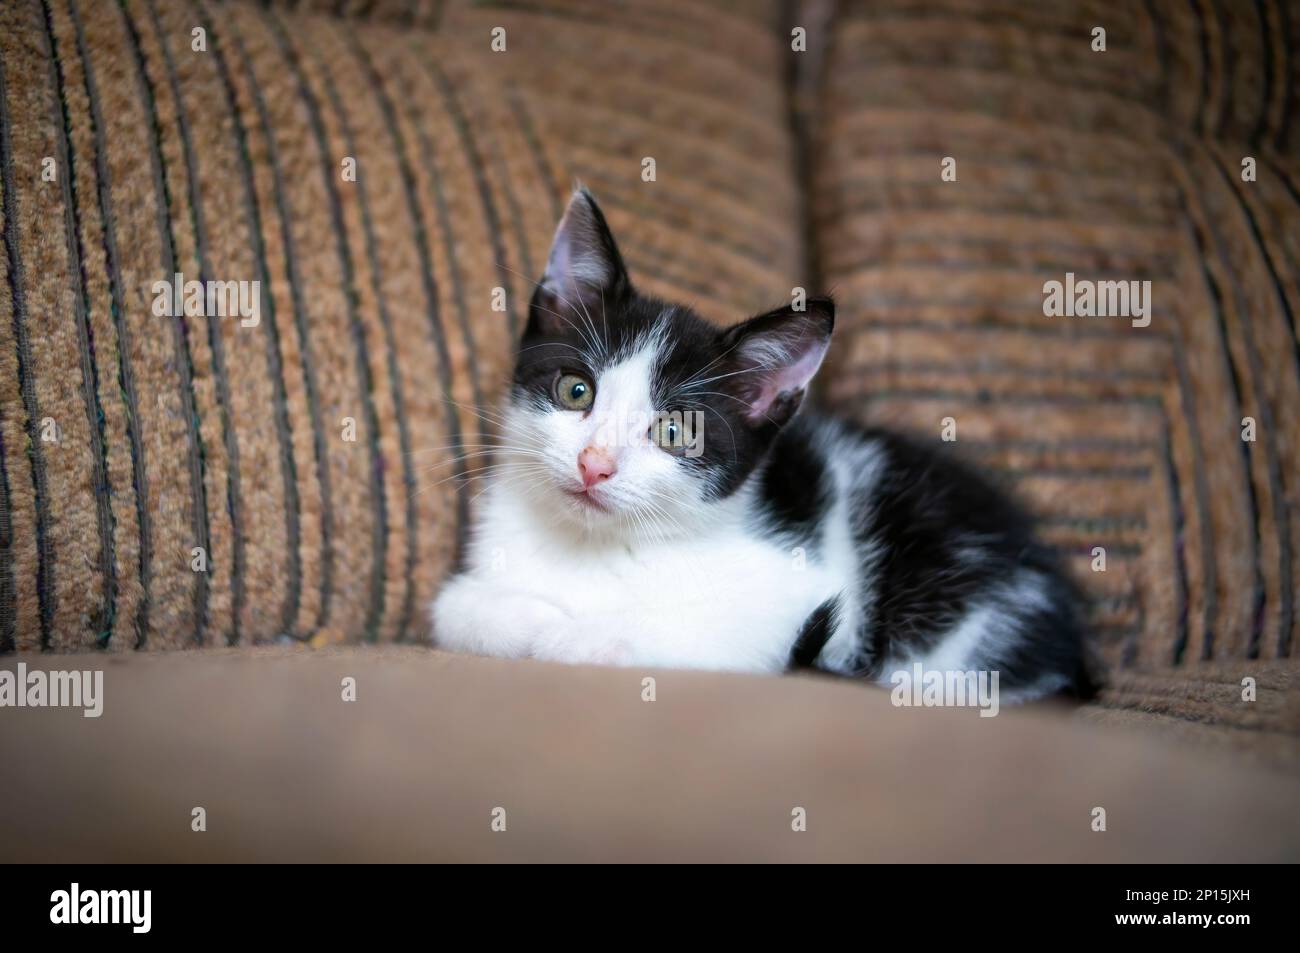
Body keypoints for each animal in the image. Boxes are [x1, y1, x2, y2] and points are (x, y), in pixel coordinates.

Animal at [434, 189, 1097, 702]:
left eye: (675, 431)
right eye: (575, 391)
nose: (593, 465)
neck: (593, 546)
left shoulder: (794, 594)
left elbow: (707, 631)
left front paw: (577, 636)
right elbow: (452, 609)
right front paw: (530, 619)